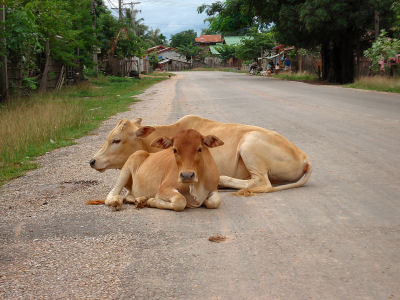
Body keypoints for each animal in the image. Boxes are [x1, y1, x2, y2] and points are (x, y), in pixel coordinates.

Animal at [90, 115, 312, 195]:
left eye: (116, 140)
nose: (92, 161)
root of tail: (304, 157)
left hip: (250, 145)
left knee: (262, 182)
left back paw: (222, 181)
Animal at [95, 129, 223, 211]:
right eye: (174, 149)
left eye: (199, 149)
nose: (187, 175)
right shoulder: (163, 189)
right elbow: (180, 201)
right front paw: (152, 201)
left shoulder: (213, 188)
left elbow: (215, 202)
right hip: (127, 167)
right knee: (112, 194)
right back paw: (116, 201)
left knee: (129, 195)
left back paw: (140, 200)